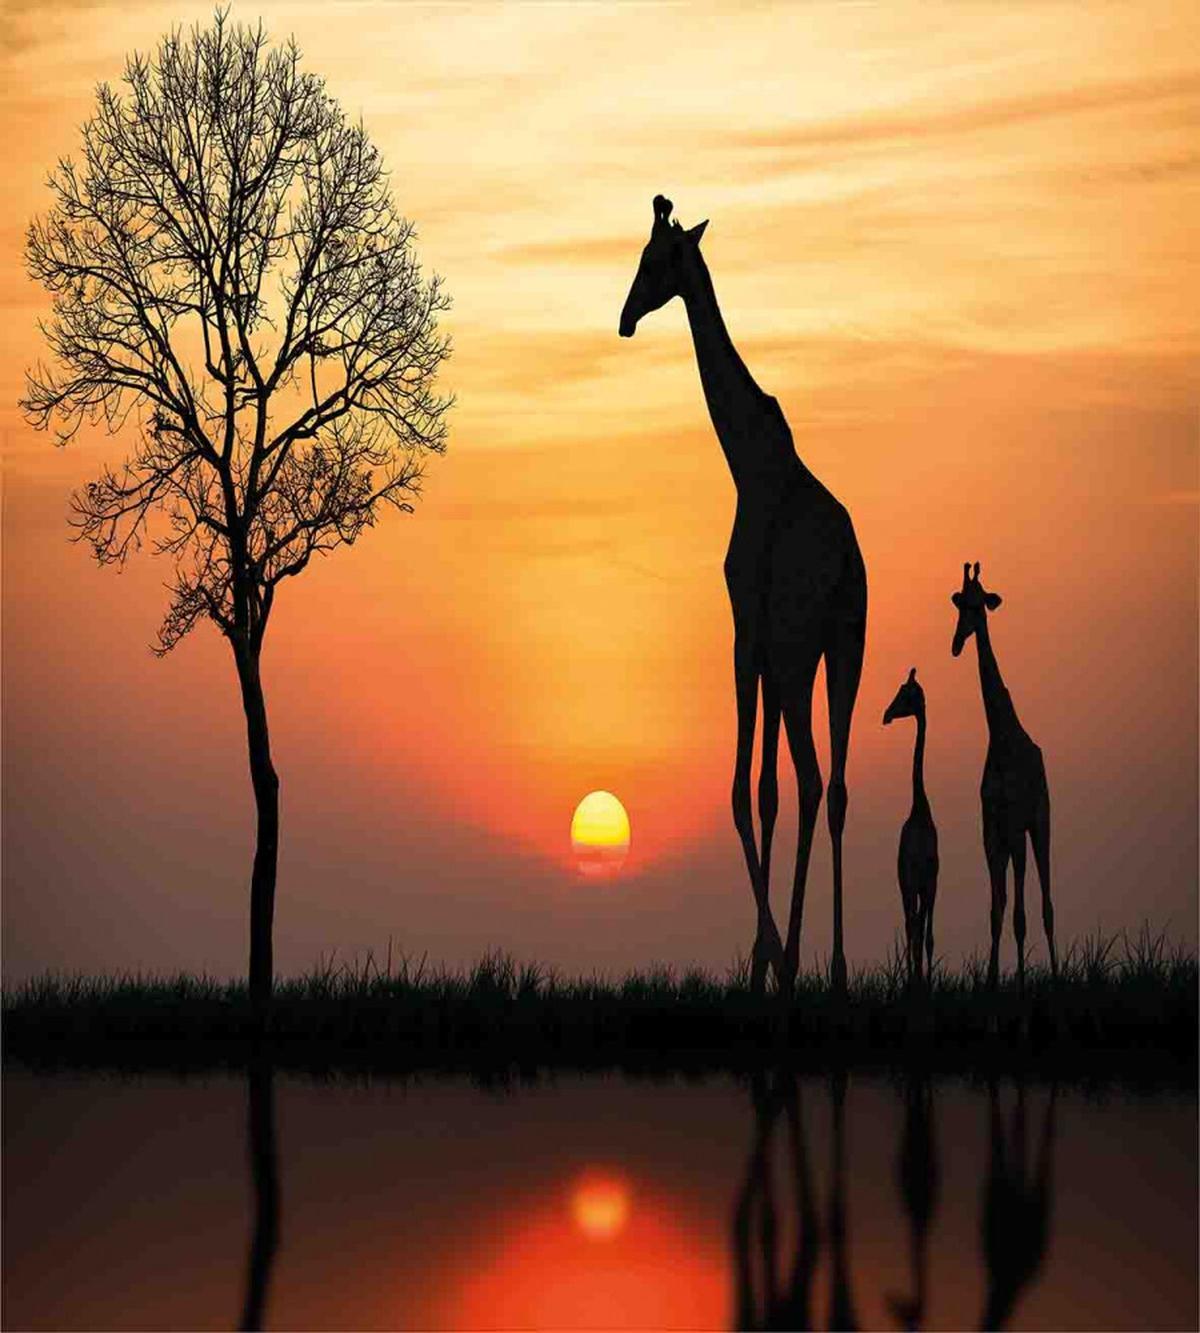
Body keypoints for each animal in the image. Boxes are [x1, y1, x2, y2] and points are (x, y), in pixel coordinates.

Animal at [620, 195, 868, 994]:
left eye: (653, 259)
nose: (624, 319)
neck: (747, 461)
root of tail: (844, 564)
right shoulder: (770, 643)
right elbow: (765, 791)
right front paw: (766, 959)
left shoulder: (747, 632)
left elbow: (738, 790)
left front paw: (767, 958)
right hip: (845, 648)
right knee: (837, 785)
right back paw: (839, 967)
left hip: (796, 653)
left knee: (815, 777)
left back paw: (797, 963)